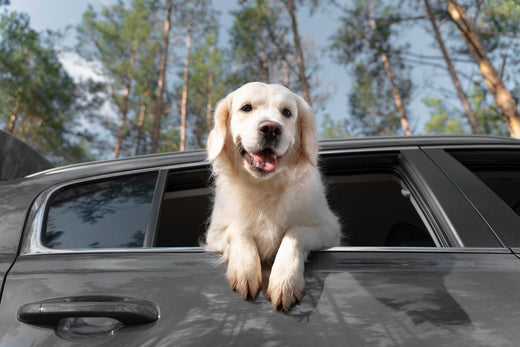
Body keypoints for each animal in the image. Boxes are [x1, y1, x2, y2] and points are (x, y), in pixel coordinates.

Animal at [205, 82, 344, 312]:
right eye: (246, 108)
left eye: (287, 112)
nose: (271, 128)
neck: (266, 187)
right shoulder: (214, 233)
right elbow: (238, 229)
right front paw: (245, 267)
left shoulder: (329, 228)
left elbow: (295, 232)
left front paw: (285, 279)